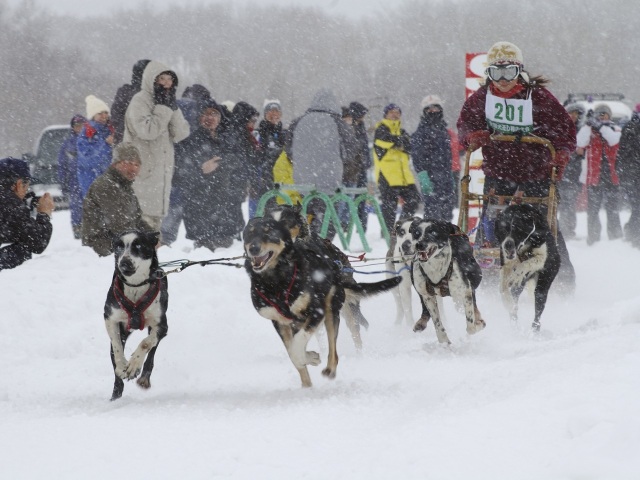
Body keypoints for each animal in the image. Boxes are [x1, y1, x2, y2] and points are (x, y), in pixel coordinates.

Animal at [103, 231, 168, 400]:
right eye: (118, 246)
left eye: (138, 245)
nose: (124, 262)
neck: (135, 286)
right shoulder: (110, 318)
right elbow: (117, 345)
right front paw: (122, 366)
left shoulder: (161, 326)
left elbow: (145, 343)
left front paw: (133, 365)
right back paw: (115, 396)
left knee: (151, 353)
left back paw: (143, 377)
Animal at [244, 217, 400, 386]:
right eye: (249, 234)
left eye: (269, 232)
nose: (253, 248)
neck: (277, 281)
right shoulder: (280, 322)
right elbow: (293, 352)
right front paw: (310, 359)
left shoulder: (316, 311)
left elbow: (297, 347)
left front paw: (307, 357)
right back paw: (307, 385)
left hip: (333, 309)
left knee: (336, 347)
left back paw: (332, 368)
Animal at [496, 202, 560, 330]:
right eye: (503, 229)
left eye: (517, 228)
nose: (508, 245)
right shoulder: (506, 262)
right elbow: (503, 286)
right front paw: (507, 302)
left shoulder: (546, 258)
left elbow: (526, 264)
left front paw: (517, 273)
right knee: (515, 294)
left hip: (543, 283)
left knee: (538, 305)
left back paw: (535, 328)